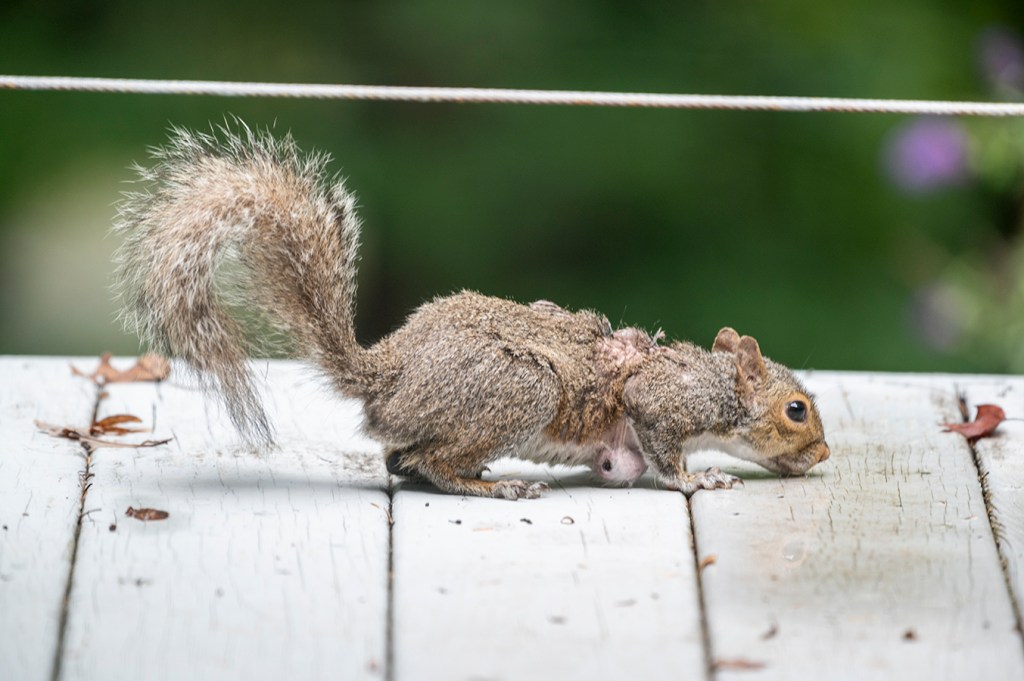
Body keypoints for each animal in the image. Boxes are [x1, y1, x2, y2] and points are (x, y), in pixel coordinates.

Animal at [113, 125, 830, 500]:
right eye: (797, 410)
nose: (824, 452)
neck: (717, 383)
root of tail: (391, 376)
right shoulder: (664, 400)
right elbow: (663, 447)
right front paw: (700, 479)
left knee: (400, 459)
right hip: (521, 389)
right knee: (425, 461)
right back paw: (492, 486)